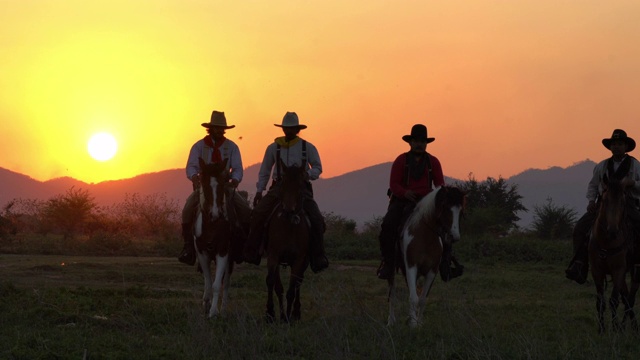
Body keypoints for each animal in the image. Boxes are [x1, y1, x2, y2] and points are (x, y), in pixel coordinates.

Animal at [195, 158, 238, 318]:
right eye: (205, 185)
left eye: (221, 185)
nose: (214, 214)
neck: (212, 226)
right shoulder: (202, 254)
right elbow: (208, 283)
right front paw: (206, 305)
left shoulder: (223, 253)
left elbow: (216, 285)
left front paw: (213, 312)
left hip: (230, 260)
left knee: (226, 283)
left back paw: (223, 310)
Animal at [264, 162, 310, 322]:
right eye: (282, 183)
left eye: (301, 186)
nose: (288, 211)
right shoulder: (273, 256)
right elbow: (273, 283)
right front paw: (271, 313)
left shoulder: (299, 259)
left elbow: (292, 288)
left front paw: (288, 318)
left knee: (298, 283)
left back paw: (296, 312)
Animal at [384, 187, 464, 328]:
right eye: (445, 206)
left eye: (460, 210)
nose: (454, 236)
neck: (425, 236)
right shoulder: (411, 266)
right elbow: (413, 298)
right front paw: (413, 324)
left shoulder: (432, 271)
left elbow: (422, 299)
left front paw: (418, 322)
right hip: (392, 269)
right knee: (392, 292)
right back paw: (391, 321)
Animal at [588, 176, 636, 334]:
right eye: (604, 200)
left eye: (623, 201)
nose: (613, 231)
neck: (606, 242)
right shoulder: (596, 270)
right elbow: (600, 302)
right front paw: (602, 329)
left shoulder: (618, 270)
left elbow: (614, 300)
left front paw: (615, 329)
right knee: (626, 297)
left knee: (630, 298)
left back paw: (627, 326)